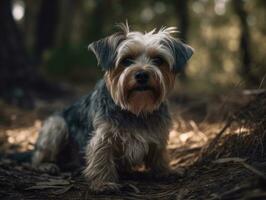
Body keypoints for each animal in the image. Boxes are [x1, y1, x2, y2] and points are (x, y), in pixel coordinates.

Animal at [31, 23, 193, 192]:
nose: (142, 74)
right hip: (57, 125)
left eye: (158, 60)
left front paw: (165, 171)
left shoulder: (158, 132)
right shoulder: (104, 136)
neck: (135, 109)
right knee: (35, 157)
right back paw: (46, 165)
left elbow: (159, 154)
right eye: (126, 60)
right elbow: (102, 157)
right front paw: (104, 183)